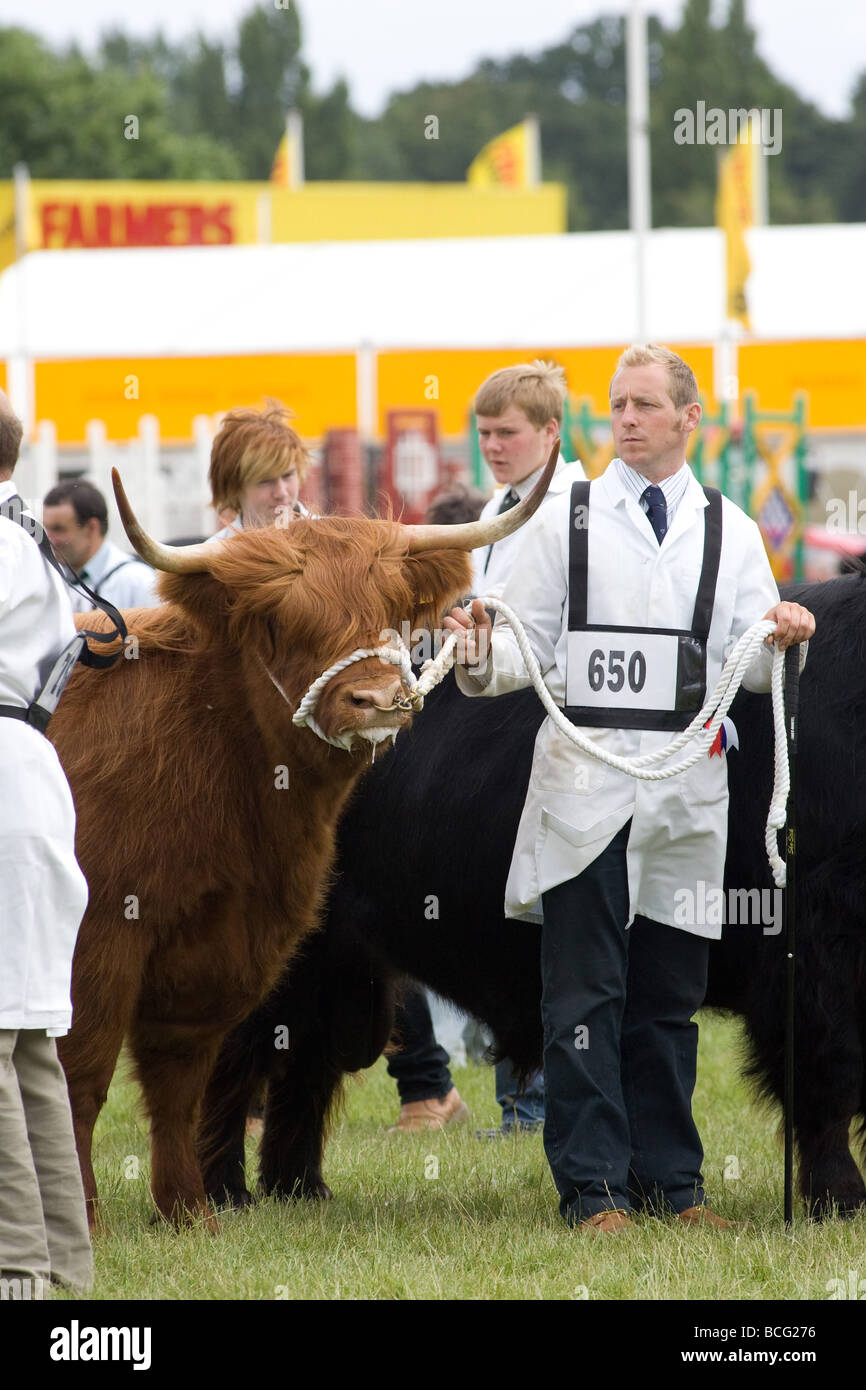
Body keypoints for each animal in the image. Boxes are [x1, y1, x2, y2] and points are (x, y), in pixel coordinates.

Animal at [48, 450, 556, 1223]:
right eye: (284, 621)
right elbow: (84, 1071)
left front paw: (189, 1210)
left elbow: (181, 1076)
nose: (377, 700)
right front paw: (85, 1215)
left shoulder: (225, 950)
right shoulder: (99, 937)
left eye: (392, 612)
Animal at [200, 572, 866, 1217]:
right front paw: (840, 1196)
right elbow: (826, 1075)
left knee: (302, 1064)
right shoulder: (815, 955)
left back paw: (298, 1188)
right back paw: (221, 1194)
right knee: (234, 1062)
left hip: (338, 971)